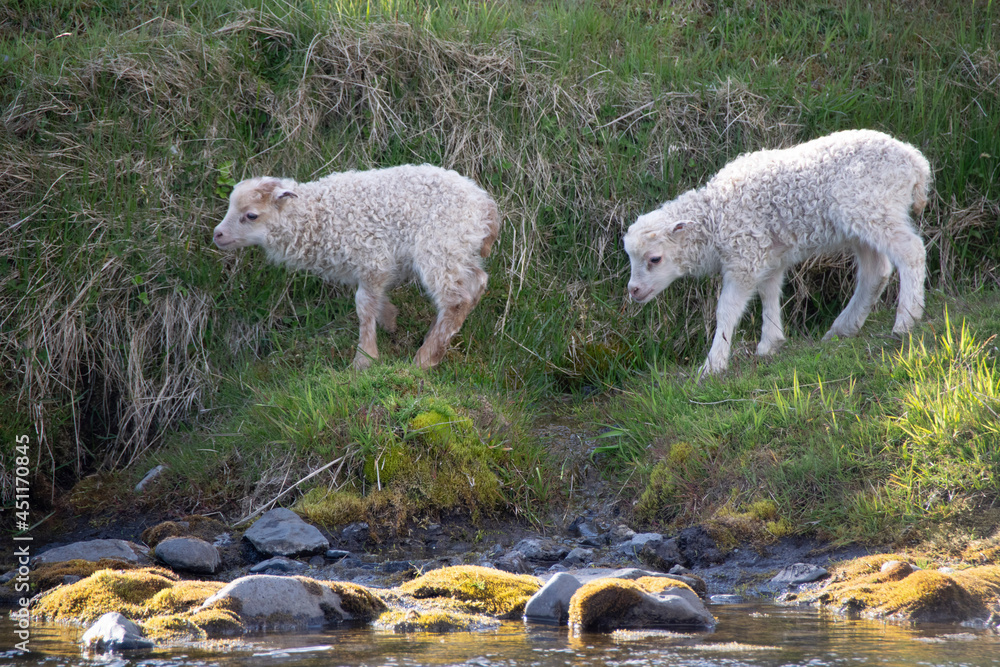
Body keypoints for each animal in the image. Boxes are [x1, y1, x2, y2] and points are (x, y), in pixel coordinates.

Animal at [213, 164, 500, 370]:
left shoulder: (372, 258)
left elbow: (364, 305)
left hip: (440, 246)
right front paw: (389, 319)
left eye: (251, 215)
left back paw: (425, 359)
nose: (218, 234)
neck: (317, 216)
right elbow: (375, 300)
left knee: (456, 300)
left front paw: (365, 358)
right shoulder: (371, 267)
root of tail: (485, 205)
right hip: (460, 248)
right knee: (477, 282)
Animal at [624, 129, 931, 375]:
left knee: (911, 251)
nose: (633, 290)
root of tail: (915, 162)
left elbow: (727, 310)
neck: (715, 216)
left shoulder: (745, 259)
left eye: (654, 259)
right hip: (858, 224)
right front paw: (770, 343)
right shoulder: (769, 255)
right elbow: (769, 292)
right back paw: (844, 327)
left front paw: (713, 364)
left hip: (874, 207)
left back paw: (906, 319)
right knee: (875, 272)